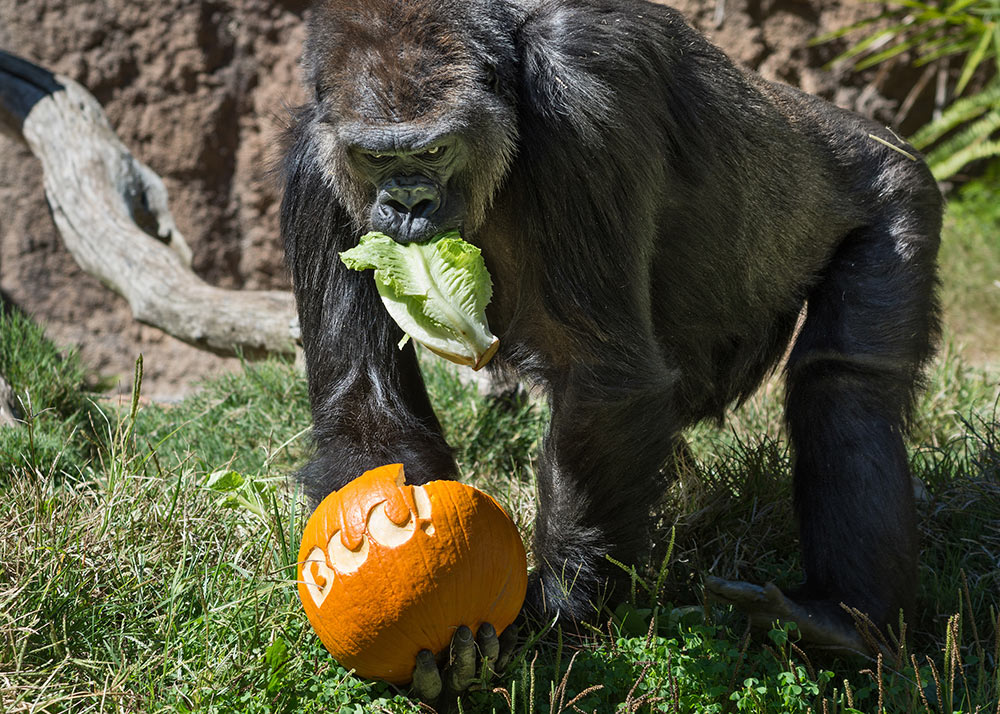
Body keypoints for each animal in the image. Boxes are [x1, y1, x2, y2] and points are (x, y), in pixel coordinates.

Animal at [280, 0, 936, 680]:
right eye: (375, 159)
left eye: (435, 149)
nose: (408, 203)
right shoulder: (314, 171)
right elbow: (366, 408)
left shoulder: (585, 101)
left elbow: (603, 378)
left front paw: (554, 615)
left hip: (898, 188)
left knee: (844, 387)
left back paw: (843, 620)